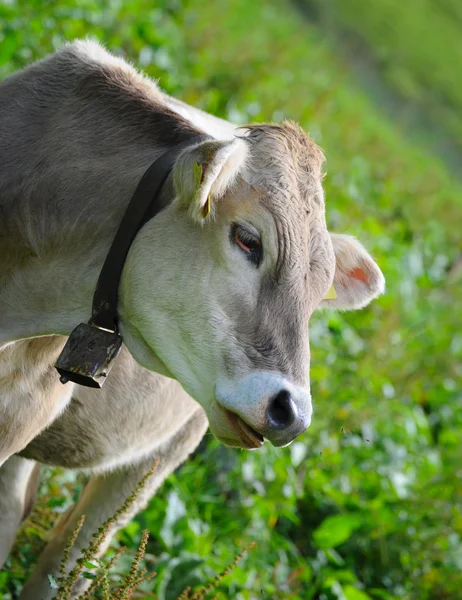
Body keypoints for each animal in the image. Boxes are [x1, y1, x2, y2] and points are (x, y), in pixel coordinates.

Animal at [0, 39, 384, 596]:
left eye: (316, 298)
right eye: (248, 239)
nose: (292, 412)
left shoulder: (24, 407)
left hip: (158, 457)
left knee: (69, 560)